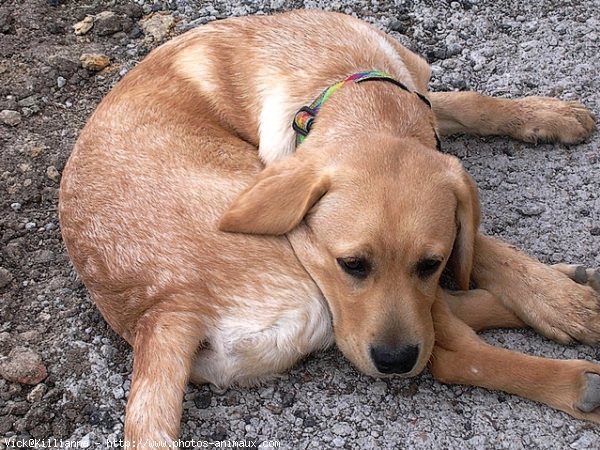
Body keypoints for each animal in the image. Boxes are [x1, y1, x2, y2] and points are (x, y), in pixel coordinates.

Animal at [59, 8, 600, 444]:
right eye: (352, 263)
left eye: (431, 262)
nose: (394, 361)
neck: (347, 81)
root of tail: (162, 311)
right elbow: (486, 246)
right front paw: (559, 301)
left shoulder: (420, 97)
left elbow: (469, 102)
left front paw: (547, 114)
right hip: (299, 261)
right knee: (450, 350)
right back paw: (576, 374)